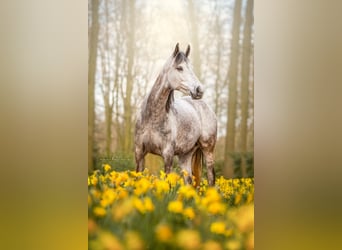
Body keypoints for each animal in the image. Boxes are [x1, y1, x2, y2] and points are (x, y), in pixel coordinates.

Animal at [134, 43, 216, 186]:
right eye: (179, 68)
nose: (199, 90)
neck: (152, 118)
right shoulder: (139, 153)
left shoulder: (168, 155)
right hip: (185, 155)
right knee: (189, 182)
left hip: (208, 151)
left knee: (211, 179)